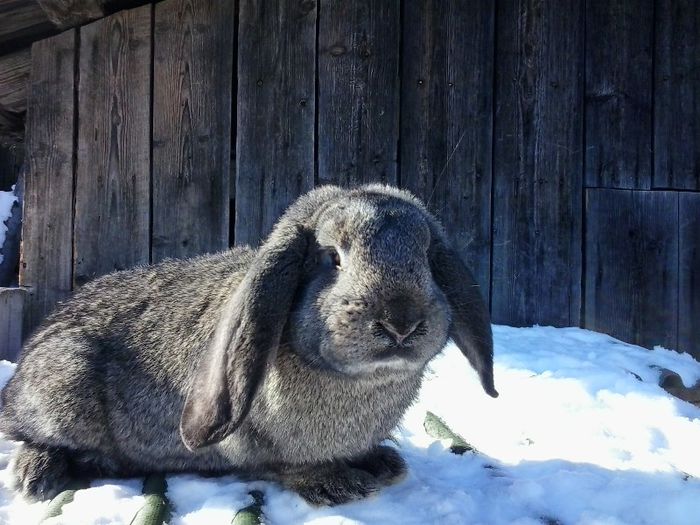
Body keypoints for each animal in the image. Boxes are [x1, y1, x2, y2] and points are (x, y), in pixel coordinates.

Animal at [0, 183, 498, 504]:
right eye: (331, 258)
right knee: (30, 434)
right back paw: (37, 476)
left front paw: (382, 463)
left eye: (426, 259)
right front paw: (336, 485)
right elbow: (283, 466)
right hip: (64, 385)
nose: (401, 323)